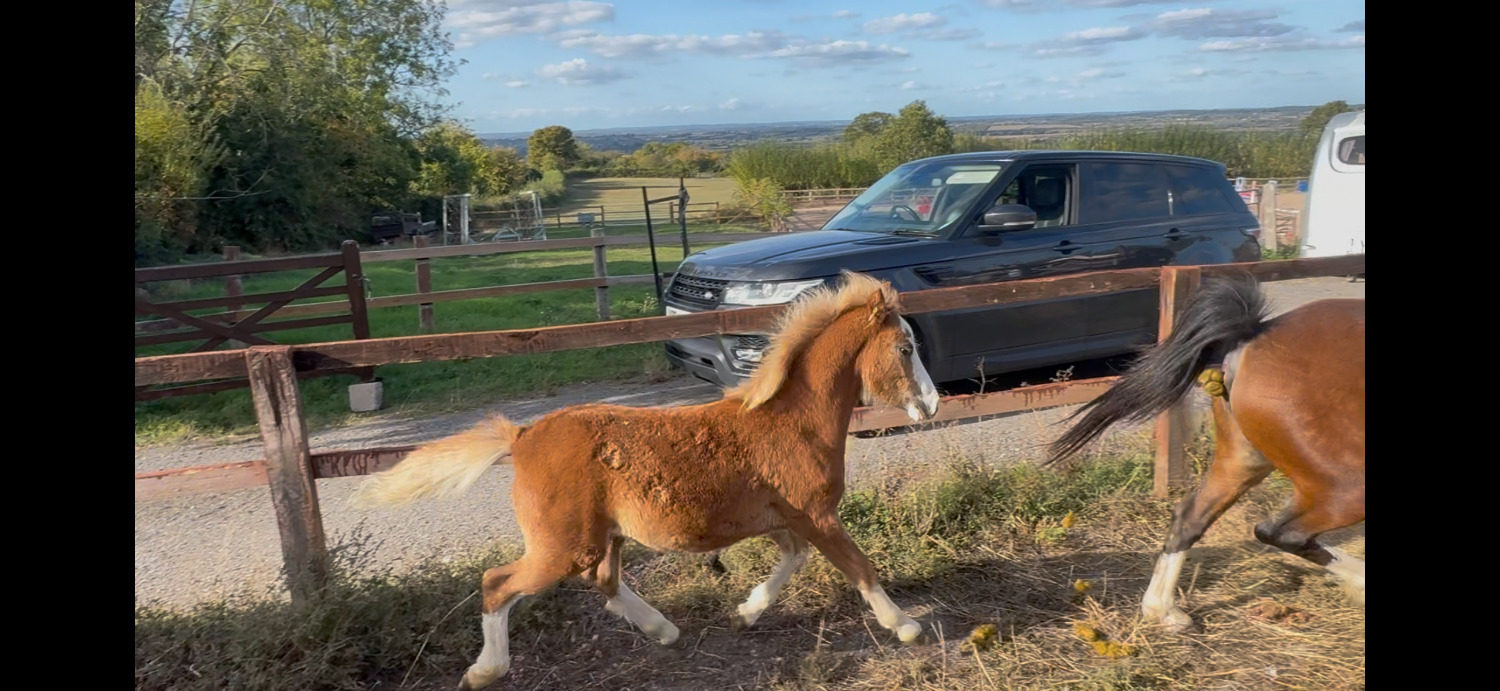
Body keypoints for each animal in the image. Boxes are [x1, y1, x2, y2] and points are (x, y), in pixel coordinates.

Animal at [351, 270, 941, 690]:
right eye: (905, 348)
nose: (931, 406)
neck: (792, 420)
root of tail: (521, 437)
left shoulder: (783, 519)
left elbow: (793, 561)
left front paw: (744, 614)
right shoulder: (816, 513)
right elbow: (859, 566)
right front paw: (906, 625)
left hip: (602, 538)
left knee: (605, 583)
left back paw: (665, 631)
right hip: (563, 545)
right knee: (499, 583)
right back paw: (484, 671)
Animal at [1045, 276, 1364, 632]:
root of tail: (1253, 335)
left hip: (1244, 460)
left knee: (1191, 518)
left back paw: (1163, 611)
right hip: (1348, 485)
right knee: (1283, 533)